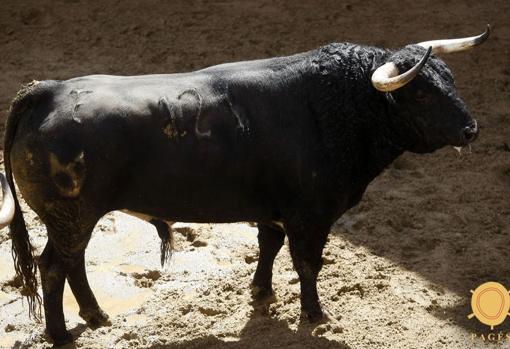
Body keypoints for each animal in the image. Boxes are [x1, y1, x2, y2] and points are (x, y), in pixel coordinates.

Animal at [0, 33, 486, 346]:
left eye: (452, 80)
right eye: (420, 94)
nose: (471, 129)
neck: (339, 105)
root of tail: (47, 91)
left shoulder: (272, 209)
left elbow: (268, 245)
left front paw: (261, 292)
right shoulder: (312, 215)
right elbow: (308, 264)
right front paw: (315, 314)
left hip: (73, 219)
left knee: (72, 262)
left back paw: (96, 315)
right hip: (72, 216)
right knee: (54, 267)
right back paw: (61, 335)